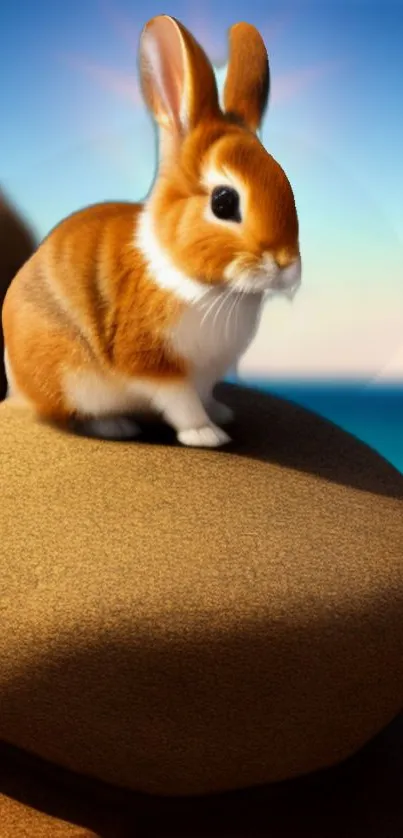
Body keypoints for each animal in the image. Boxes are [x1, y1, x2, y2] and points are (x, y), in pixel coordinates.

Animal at [2, 14, 300, 446]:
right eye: (223, 203)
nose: (286, 264)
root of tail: (17, 384)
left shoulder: (205, 376)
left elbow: (204, 395)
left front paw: (220, 413)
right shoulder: (154, 366)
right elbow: (181, 401)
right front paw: (206, 435)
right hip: (73, 379)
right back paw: (116, 426)